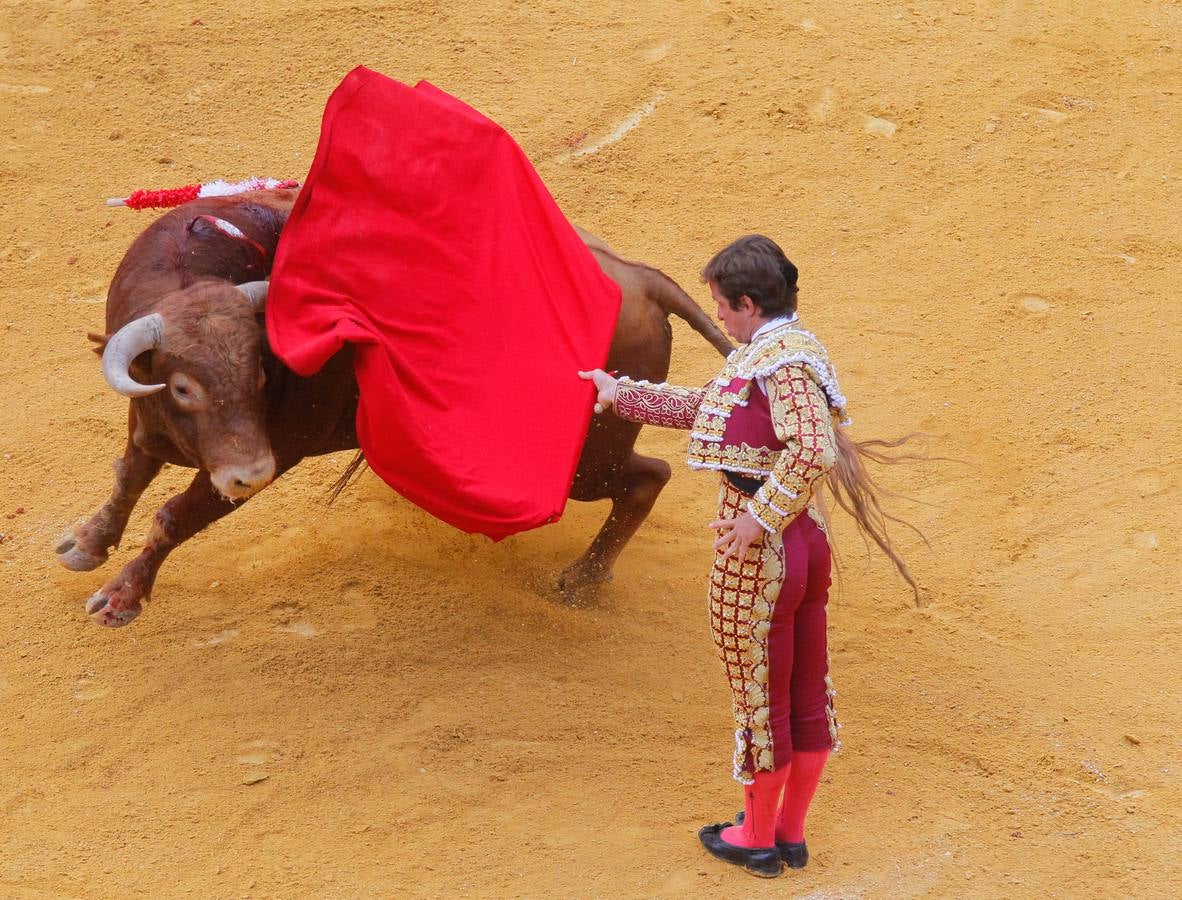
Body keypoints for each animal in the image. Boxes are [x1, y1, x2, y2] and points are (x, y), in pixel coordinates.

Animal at [62, 189, 737, 624]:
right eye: (182, 388)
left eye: (259, 374)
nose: (248, 475)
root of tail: (643, 280)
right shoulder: (149, 423)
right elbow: (130, 474)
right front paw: (88, 542)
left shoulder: (273, 452)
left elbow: (175, 515)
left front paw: (120, 598)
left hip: (583, 463)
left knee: (648, 477)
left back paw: (581, 582)